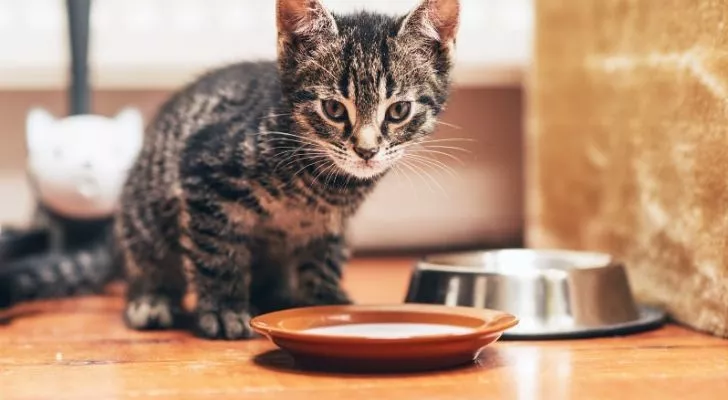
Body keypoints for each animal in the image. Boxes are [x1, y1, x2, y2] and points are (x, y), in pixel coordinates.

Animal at [119, 0, 460, 340]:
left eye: (399, 110)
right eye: (334, 109)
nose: (366, 151)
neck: (326, 184)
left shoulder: (330, 225)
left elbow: (323, 261)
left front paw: (325, 302)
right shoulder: (203, 173)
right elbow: (217, 251)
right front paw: (224, 309)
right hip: (147, 214)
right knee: (148, 261)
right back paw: (151, 298)